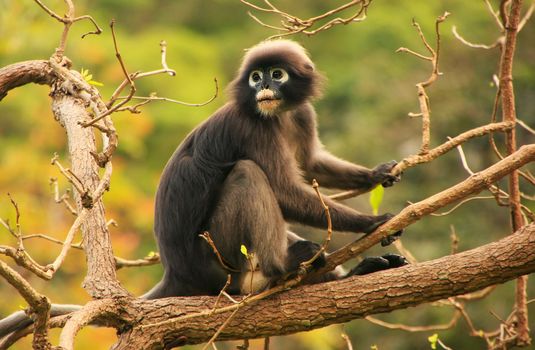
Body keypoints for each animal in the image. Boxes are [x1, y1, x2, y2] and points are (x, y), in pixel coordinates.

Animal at [142, 40, 406, 298]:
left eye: (277, 74)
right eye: (256, 77)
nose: (264, 85)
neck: (279, 115)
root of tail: (176, 273)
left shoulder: (302, 113)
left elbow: (309, 164)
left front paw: (377, 174)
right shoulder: (253, 128)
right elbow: (282, 191)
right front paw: (372, 221)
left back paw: (351, 274)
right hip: (216, 257)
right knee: (247, 172)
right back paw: (281, 265)